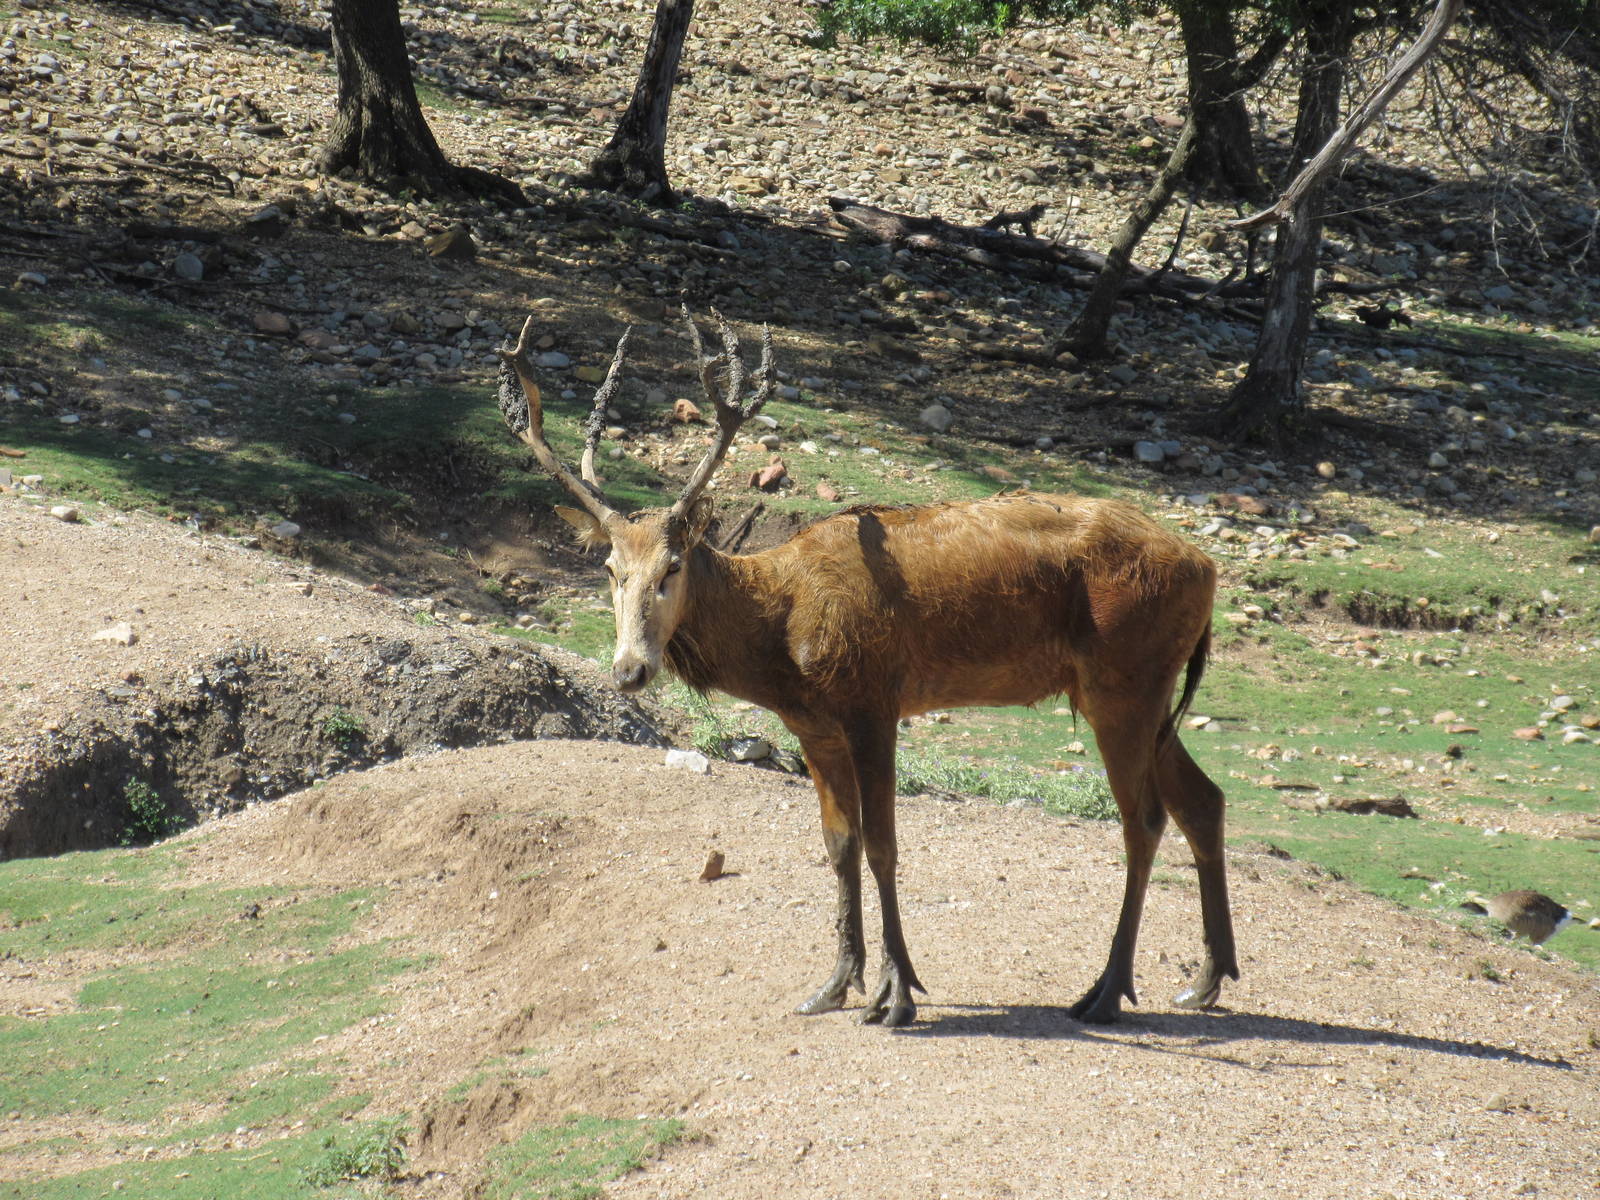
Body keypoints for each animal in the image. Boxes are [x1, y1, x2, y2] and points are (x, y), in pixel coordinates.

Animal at [495, 308, 1237, 1028]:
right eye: (610, 568)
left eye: (672, 567)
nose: (629, 671)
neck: (781, 643)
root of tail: (1207, 569)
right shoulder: (813, 727)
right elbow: (839, 844)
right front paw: (833, 985)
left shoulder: (873, 702)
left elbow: (884, 844)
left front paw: (897, 992)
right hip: (1136, 691)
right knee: (1204, 799)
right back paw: (1205, 980)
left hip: (1125, 678)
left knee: (1144, 820)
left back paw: (1107, 991)